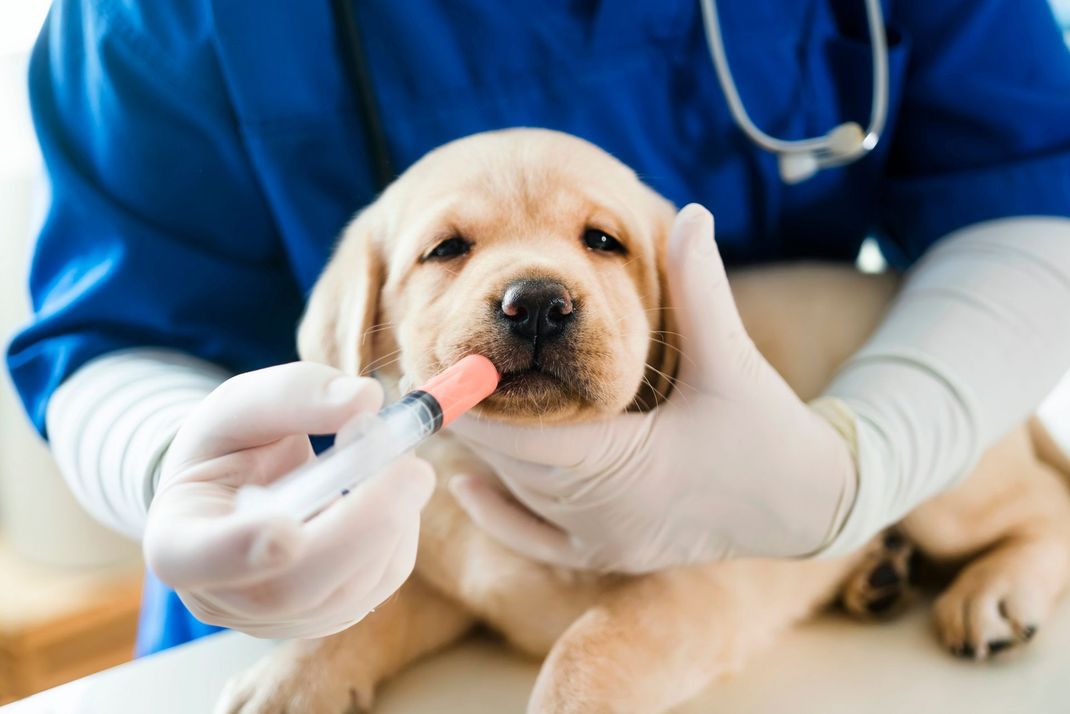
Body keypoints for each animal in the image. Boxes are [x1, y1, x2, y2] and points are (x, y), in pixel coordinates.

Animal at [217, 130, 1070, 714]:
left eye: (603, 241)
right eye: (447, 249)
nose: (537, 301)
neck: (516, 469)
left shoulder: (699, 578)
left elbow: (587, 649)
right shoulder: (452, 575)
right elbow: (369, 612)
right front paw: (291, 677)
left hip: (955, 494)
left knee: (1044, 507)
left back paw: (994, 591)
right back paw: (877, 574)